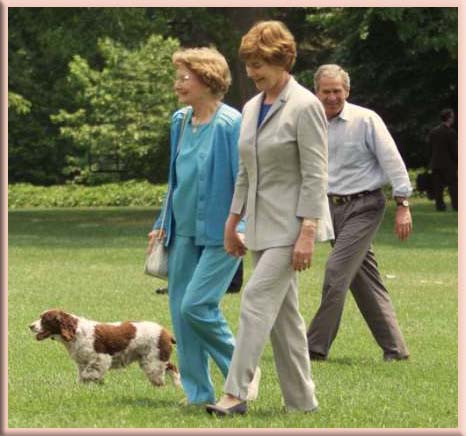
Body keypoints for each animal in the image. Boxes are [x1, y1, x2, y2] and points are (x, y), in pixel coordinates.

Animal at [29, 306, 181, 388]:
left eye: (45, 320)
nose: (30, 325)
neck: (76, 332)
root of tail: (166, 332)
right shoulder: (82, 362)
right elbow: (82, 376)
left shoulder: (100, 358)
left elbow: (89, 374)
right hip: (154, 359)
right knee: (172, 368)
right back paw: (177, 385)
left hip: (153, 361)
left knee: (161, 377)